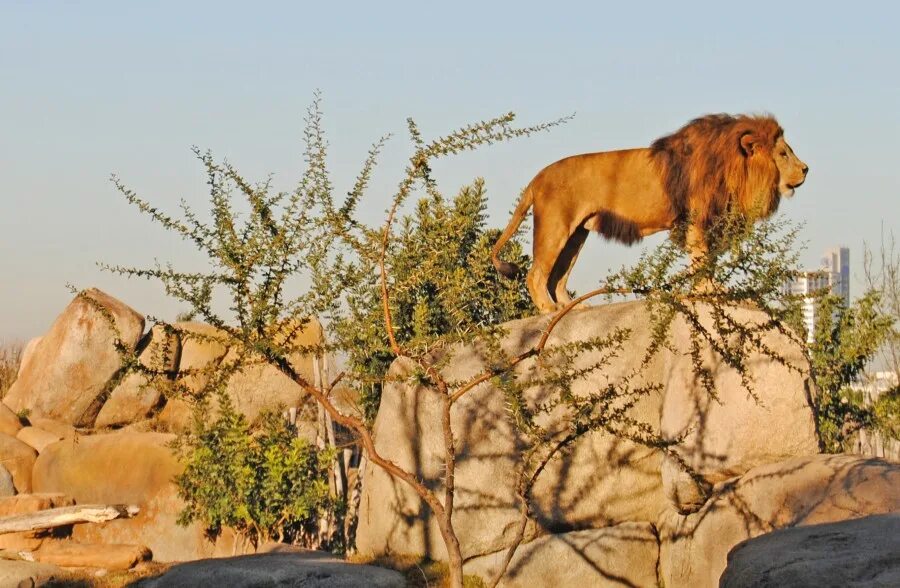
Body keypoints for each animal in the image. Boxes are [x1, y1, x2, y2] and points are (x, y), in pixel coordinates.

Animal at [492, 111, 808, 312]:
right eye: (783, 154)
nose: (806, 169)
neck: (735, 168)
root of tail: (538, 177)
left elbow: (707, 260)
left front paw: (709, 289)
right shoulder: (698, 219)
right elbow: (702, 258)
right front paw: (709, 290)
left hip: (576, 234)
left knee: (558, 276)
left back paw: (568, 308)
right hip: (555, 226)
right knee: (536, 274)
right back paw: (548, 310)